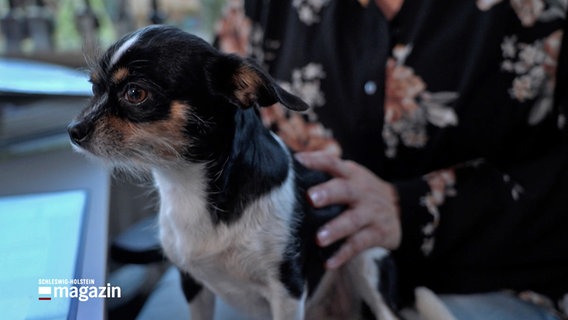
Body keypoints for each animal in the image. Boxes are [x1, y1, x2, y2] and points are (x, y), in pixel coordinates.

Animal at [69, 25, 400, 320]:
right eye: (94, 87)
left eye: (135, 93)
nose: (73, 130)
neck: (185, 184)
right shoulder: (192, 284)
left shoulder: (287, 291)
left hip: (366, 260)